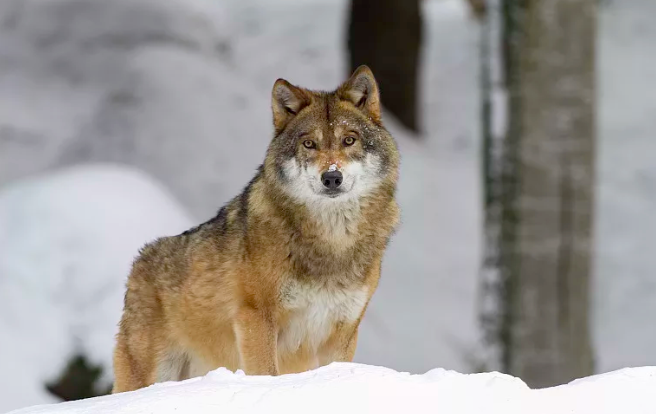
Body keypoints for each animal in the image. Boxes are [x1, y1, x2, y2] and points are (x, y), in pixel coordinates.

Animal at [111, 64, 400, 392]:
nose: (331, 177)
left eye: (349, 140)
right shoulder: (256, 318)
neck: (332, 241)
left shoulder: (344, 330)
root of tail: (139, 262)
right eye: (309, 144)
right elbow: (266, 373)